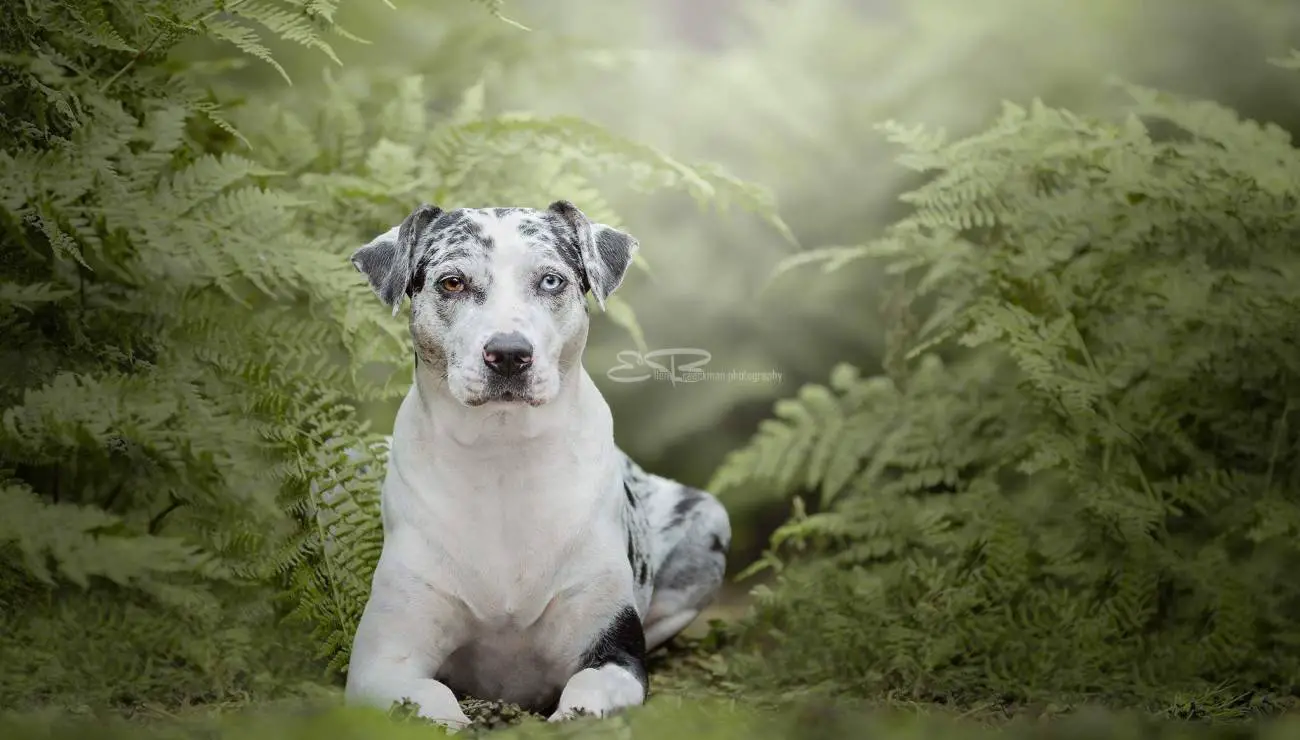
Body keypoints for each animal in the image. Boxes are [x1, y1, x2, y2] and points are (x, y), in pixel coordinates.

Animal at [343, 200, 733, 728]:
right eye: (452, 282)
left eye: (551, 280)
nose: (509, 354)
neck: (503, 455)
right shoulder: (383, 659)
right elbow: (431, 699)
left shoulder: (613, 651)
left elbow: (588, 692)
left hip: (709, 519)